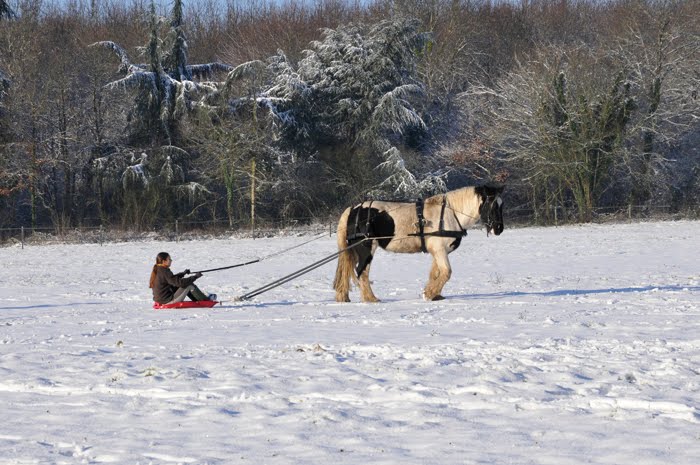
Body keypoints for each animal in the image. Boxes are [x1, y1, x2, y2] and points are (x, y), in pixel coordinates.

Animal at [334, 183, 504, 302]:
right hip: (366, 248)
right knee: (361, 272)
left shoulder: (438, 251)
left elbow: (435, 273)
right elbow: (446, 272)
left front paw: (434, 294)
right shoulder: (439, 249)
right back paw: (370, 299)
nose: (499, 229)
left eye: (501, 205)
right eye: (492, 204)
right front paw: (429, 294)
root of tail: (354, 208)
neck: (450, 214)